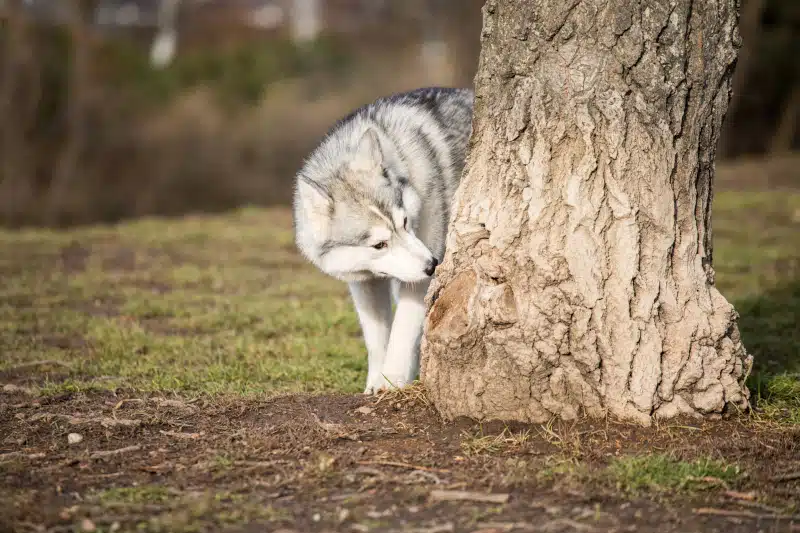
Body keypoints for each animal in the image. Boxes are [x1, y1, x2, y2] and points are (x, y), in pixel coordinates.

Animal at [292, 87, 472, 392]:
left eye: (405, 223)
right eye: (379, 245)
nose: (432, 265)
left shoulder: (417, 284)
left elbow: (400, 334)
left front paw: (392, 382)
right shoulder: (365, 284)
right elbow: (377, 340)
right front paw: (375, 383)